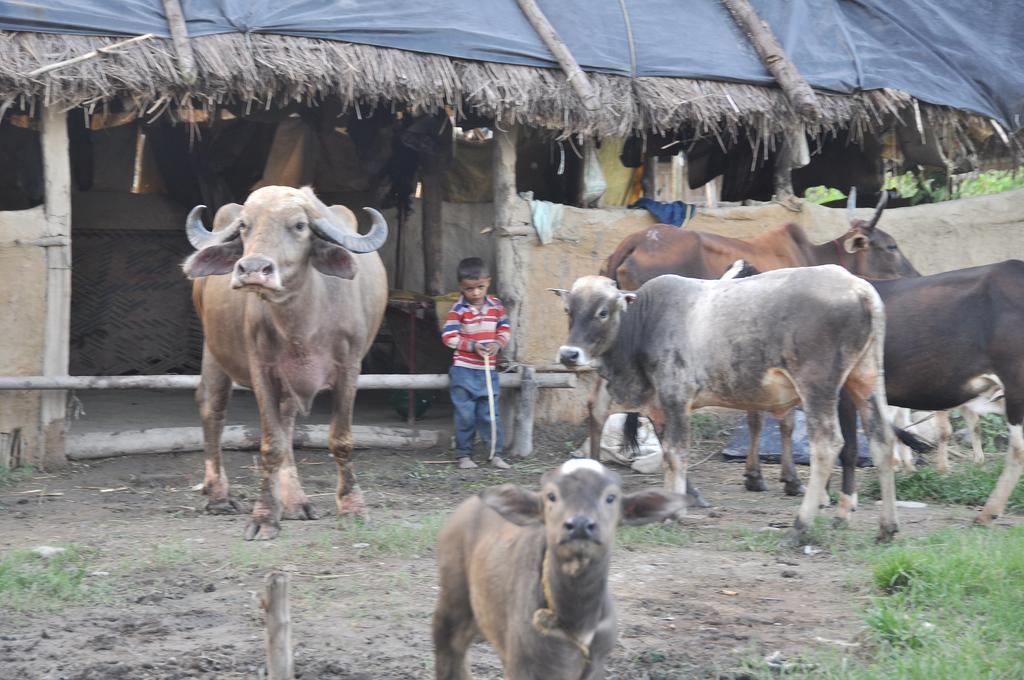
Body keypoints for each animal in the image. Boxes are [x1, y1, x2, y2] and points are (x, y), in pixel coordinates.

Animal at [180, 183, 387, 540]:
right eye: (245, 225)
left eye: (300, 226)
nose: (252, 270)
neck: (303, 322)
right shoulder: (261, 369)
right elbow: (271, 445)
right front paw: (264, 516)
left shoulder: (349, 368)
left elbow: (341, 440)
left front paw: (353, 510)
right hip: (213, 347)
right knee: (212, 406)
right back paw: (219, 496)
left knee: (288, 420)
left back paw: (295, 503)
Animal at [432, 456, 688, 680]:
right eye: (551, 496)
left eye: (611, 497)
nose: (580, 525)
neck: (576, 620)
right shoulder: (524, 665)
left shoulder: (595, 664)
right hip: (452, 601)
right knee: (448, 648)